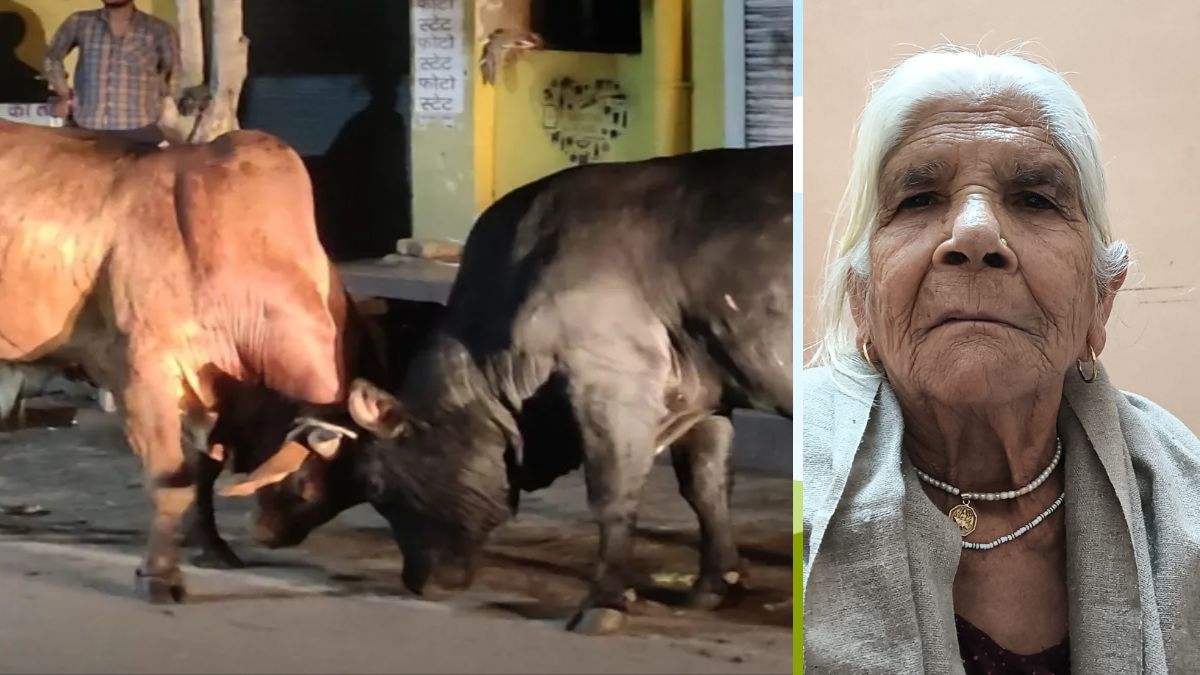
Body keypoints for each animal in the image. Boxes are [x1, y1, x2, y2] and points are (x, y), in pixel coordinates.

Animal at [0, 119, 377, 602]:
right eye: (305, 484)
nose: (271, 534)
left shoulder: (210, 393)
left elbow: (203, 474)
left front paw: (212, 548)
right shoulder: (144, 374)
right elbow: (172, 480)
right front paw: (161, 576)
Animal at [227, 145, 793, 634]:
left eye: (376, 485)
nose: (418, 582)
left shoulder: (612, 380)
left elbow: (613, 493)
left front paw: (604, 600)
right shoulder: (706, 388)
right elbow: (706, 485)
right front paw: (715, 584)